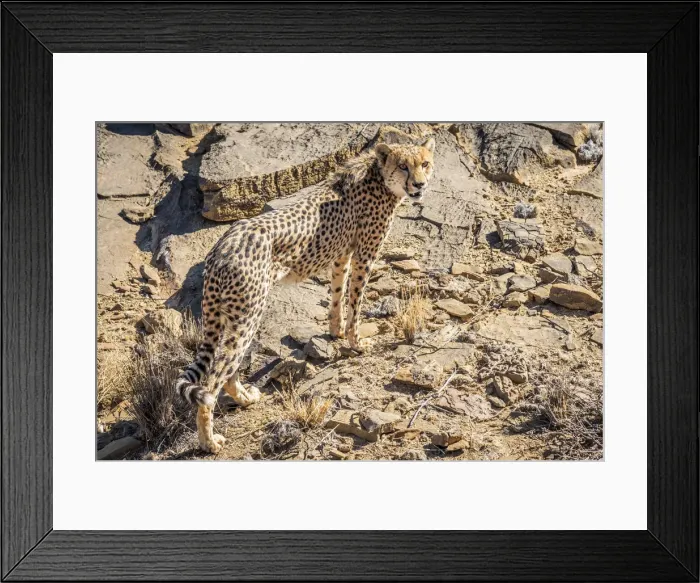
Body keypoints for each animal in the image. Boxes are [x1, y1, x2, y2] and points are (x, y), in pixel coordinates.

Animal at [175, 137, 436, 453]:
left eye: (424, 163)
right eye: (403, 166)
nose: (420, 184)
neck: (378, 177)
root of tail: (221, 246)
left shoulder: (342, 254)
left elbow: (337, 294)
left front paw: (336, 331)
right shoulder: (364, 255)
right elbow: (355, 301)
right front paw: (357, 342)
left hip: (228, 315)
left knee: (225, 367)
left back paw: (245, 398)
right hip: (248, 314)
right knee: (215, 378)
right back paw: (209, 441)